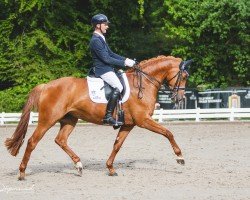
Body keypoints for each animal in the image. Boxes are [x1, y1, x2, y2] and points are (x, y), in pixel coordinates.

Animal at [4, 54, 191, 180]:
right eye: (184, 76)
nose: (179, 98)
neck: (143, 83)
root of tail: (46, 86)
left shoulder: (128, 124)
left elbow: (117, 145)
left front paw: (110, 168)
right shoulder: (143, 120)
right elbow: (168, 133)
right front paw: (180, 157)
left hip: (70, 119)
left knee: (61, 140)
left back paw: (79, 165)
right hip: (47, 120)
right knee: (32, 142)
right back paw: (22, 173)